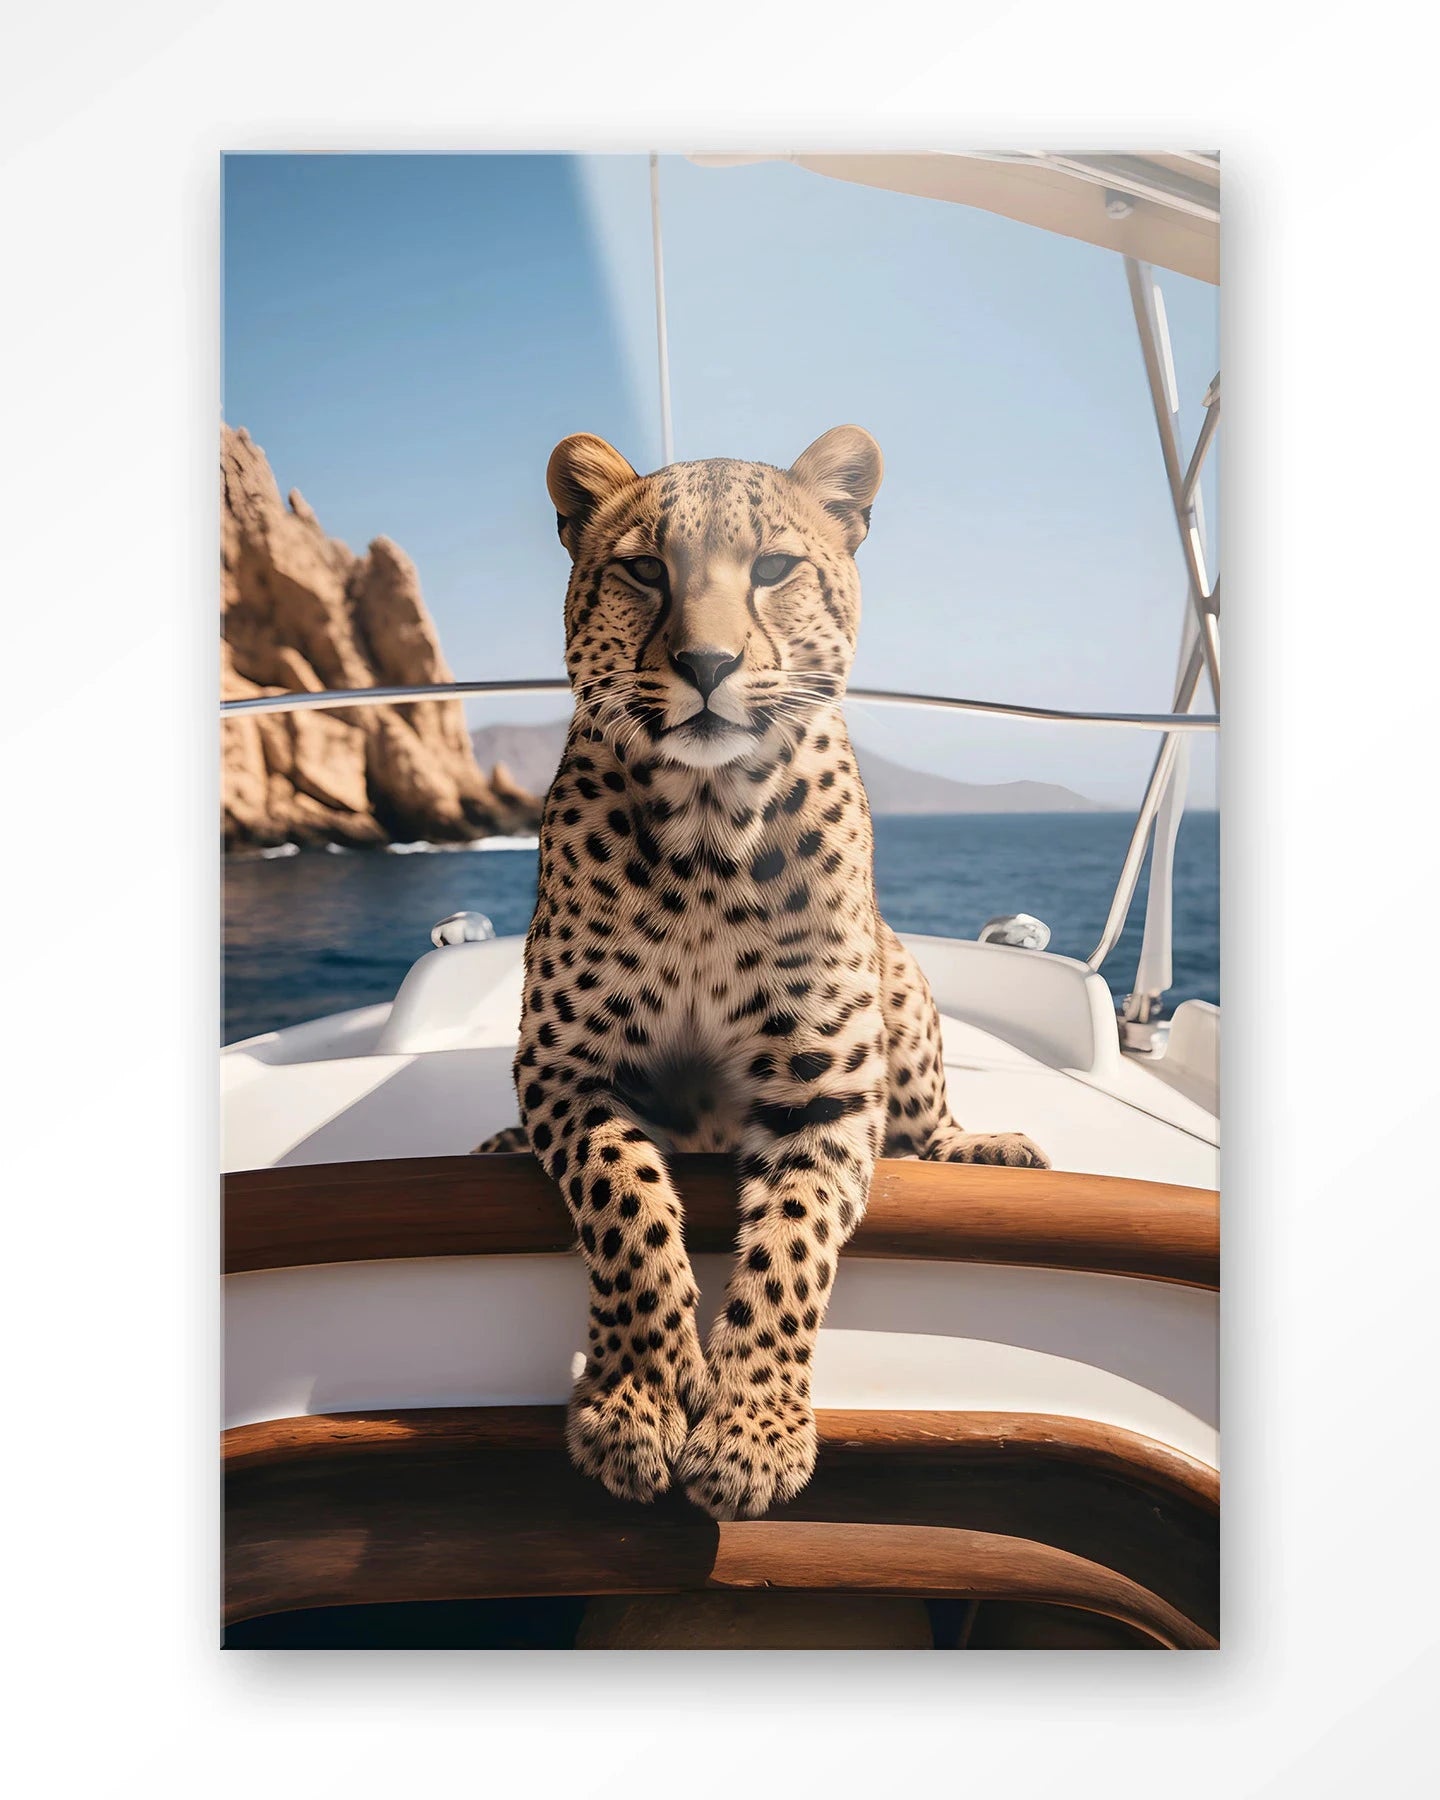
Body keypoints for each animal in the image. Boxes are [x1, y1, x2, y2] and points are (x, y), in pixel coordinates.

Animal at [476, 424, 1049, 1520]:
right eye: (647, 571)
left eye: (774, 569)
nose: (708, 662)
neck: (708, 831)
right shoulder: (568, 1066)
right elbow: (626, 1203)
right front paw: (639, 1401)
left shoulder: (825, 1088)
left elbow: (790, 1249)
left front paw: (751, 1433)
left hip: (903, 980)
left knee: (926, 1123)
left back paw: (984, 1150)